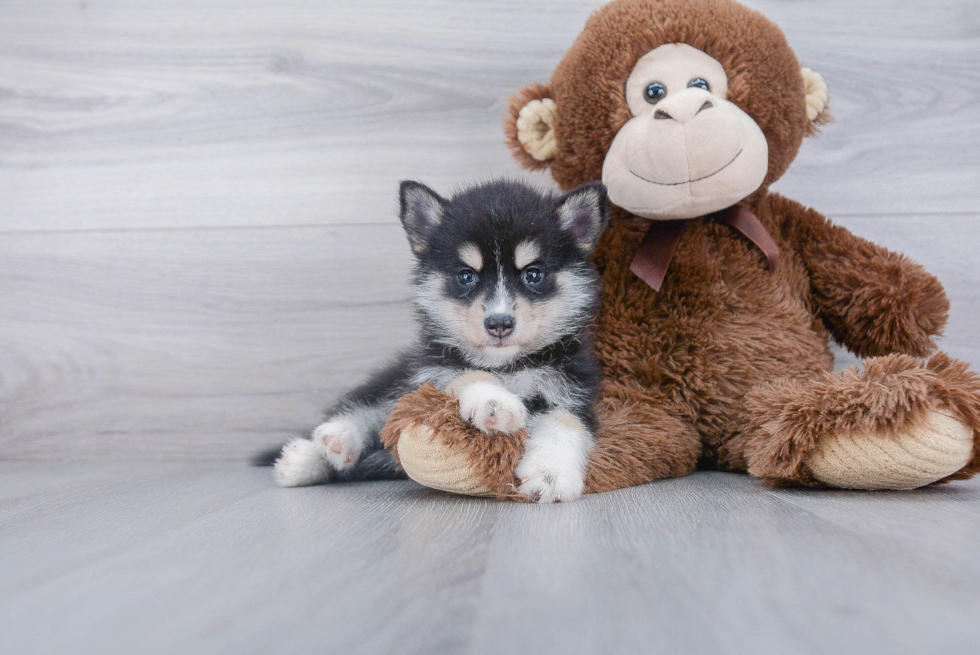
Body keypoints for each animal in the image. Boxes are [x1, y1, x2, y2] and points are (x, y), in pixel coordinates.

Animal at [272, 178, 604, 502]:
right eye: (466, 275)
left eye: (533, 274)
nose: (499, 324)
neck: (506, 366)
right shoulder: (434, 371)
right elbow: (468, 373)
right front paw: (494, 403)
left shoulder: (572, 391)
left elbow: (565, 424)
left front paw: (551, 474)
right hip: (400, 379)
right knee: (372, 407)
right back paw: (323, 447)